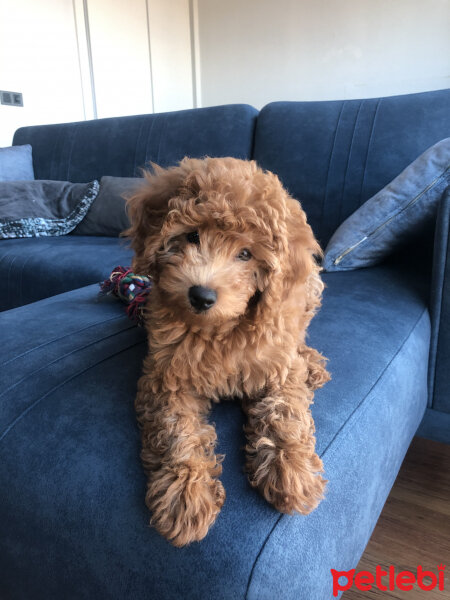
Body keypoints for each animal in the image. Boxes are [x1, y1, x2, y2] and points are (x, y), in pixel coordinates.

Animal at [125, 157, 328, 548]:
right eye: (192, 236)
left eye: (245, 254)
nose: (201, 295)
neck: (220, 330)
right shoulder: (165, 377)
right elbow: (177, 432)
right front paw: (186, 496)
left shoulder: (278, 365)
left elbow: (286, 413)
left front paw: (292, 471)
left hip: (311, 288)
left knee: (301, 334)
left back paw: (311, 363)